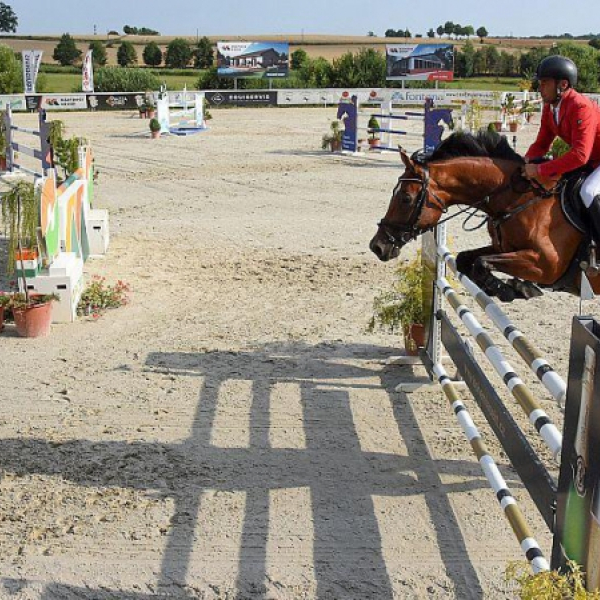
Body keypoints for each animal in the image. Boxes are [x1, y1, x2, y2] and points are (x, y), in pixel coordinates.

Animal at [368, 130, 596, 300]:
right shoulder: (503, 248)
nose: (377, 247)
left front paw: (512, 290)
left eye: (406, 198)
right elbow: (467, 259)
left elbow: (481, 263)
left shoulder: (547, 265)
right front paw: (512, 288)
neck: (519, 198)